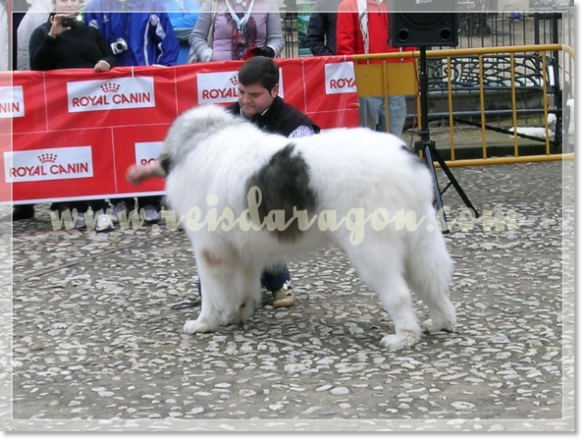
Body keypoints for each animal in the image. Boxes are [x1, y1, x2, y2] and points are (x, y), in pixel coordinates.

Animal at [161, 104, 456, 352]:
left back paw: (404, 337)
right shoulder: (242, 252)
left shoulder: (211, 250)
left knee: (398, 294)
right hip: (419, 241)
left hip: (372, 249)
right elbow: (242, 289)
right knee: (432, 282)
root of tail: (406, 159)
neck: (203, 140)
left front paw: (204, 323)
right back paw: (440, 322)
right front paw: (237, 314)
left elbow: (213, 293)